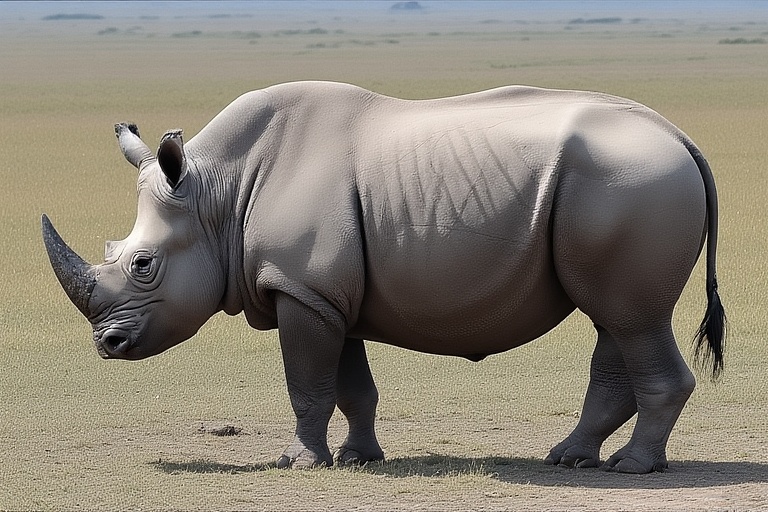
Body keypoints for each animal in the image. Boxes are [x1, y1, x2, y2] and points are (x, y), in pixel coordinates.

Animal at [42, 81, 725, 473]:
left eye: (143, 265)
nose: (108, 345)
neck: (217, 193)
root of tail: (681, 138)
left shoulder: (300, 288)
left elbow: (307, 383)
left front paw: (297, 463)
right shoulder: (321, 293)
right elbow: (348, 385)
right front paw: (356, 458)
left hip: (632, 184)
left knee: (631, 320)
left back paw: (631, 470)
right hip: (622, 190)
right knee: (617, 318)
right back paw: (573, 459)